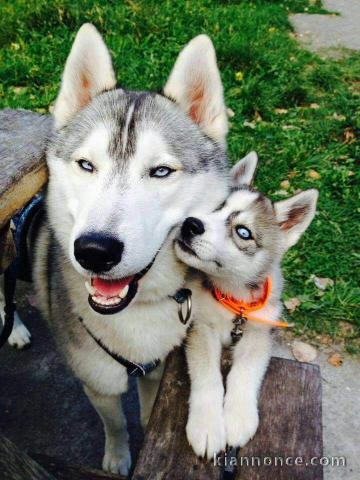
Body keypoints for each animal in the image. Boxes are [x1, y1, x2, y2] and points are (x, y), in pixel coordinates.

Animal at [30, 24, 228, 474]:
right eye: (86, 165)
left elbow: (146, 412)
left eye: (161, 171)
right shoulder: (97, 379)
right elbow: (115, 422)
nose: (94, 250)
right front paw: (117, 458)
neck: (135, 314)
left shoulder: (156, 369)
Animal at [174, 153, 318, 458]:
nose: (190, 223)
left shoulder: (259, 333)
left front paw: (238, 418)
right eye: (214, 207)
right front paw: (207, 425)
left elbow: (245, 372)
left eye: (243, 232)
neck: (233, 300)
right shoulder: (200, 327)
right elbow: (207, 376)